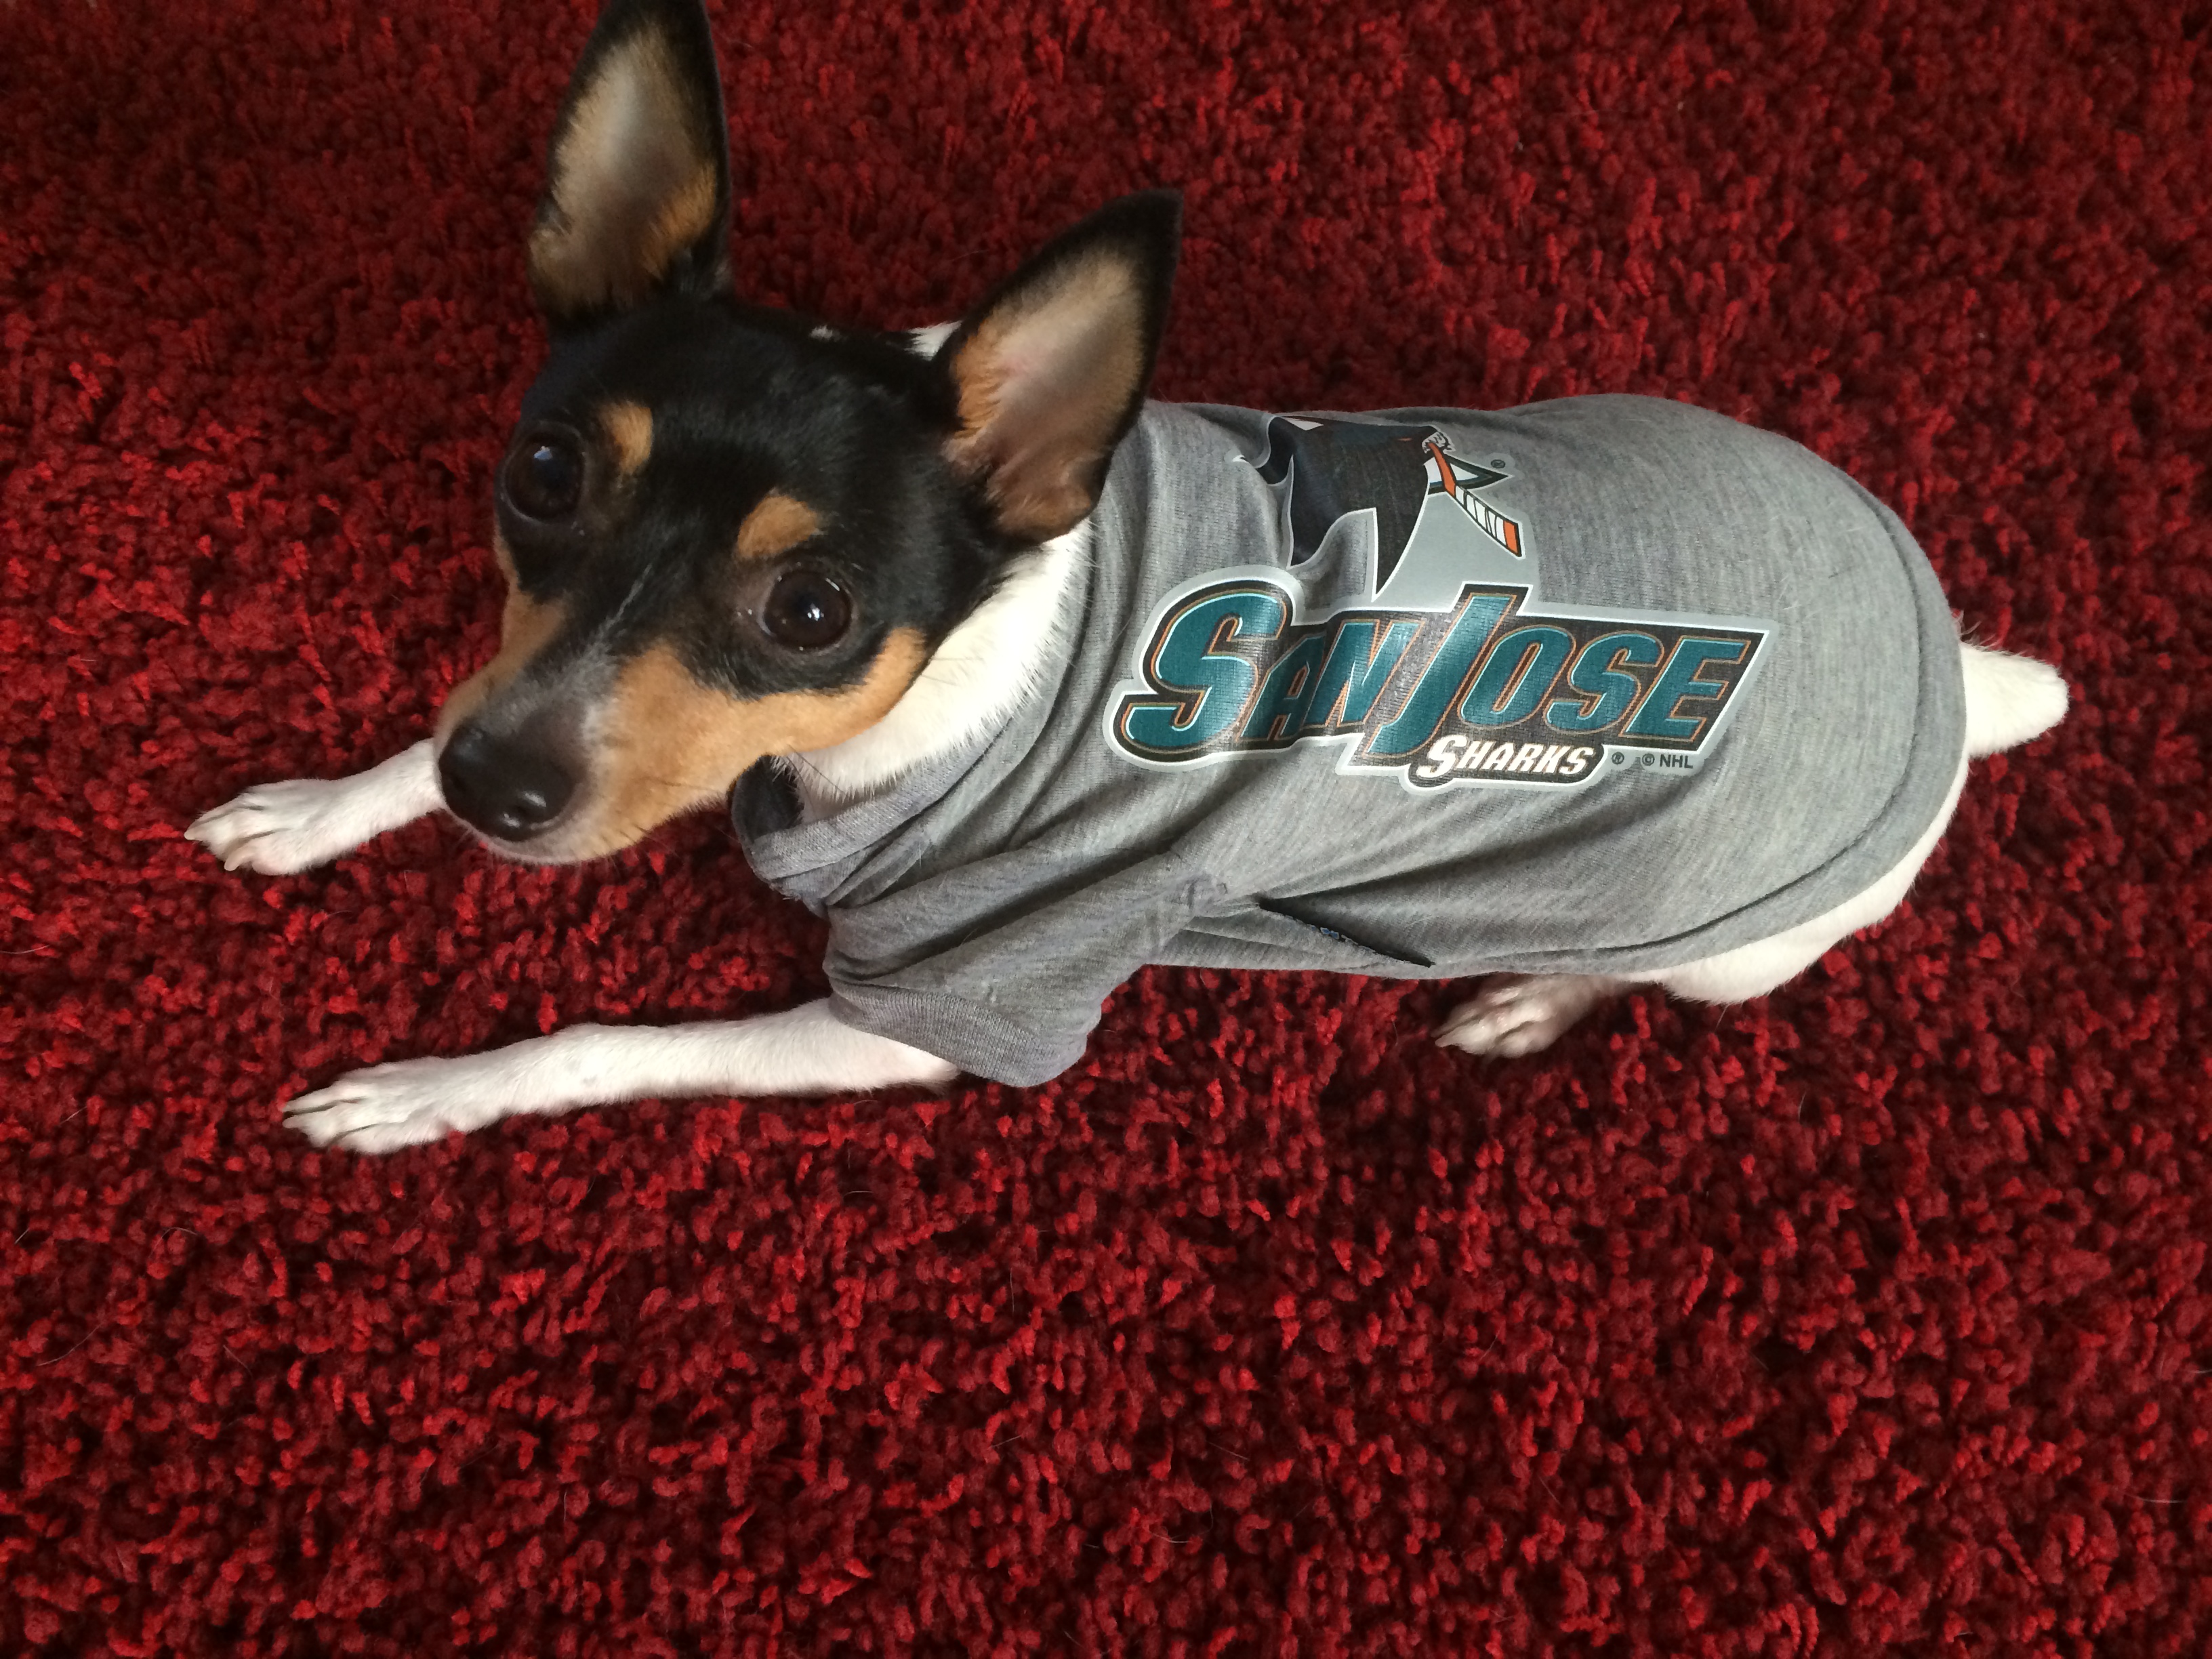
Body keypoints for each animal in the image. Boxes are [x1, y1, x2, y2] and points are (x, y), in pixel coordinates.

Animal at [185, 0, 2068, 1154]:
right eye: (546, 473)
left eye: (813, 613)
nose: (497, 792)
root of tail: (1960, 661)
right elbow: (435, 732)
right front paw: (328, 806)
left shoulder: (929, 1015)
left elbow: (596, 1044)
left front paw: (424, 1090)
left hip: (1738, 949)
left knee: (1656, 973)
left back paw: (1532, 992)